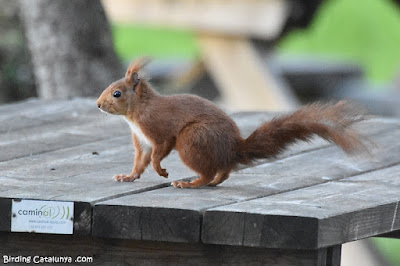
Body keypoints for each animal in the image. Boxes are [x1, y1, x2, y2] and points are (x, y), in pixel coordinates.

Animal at [96, 57, 368, 188]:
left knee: (208, 170)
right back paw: (215, 181)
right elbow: (140, 161)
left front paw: (161, 170)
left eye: (117, 93)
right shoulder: (142, 141)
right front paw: (128, 176)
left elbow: (158, 153)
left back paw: (192, 184)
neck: (136, 114)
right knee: (224, 170)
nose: (98, 104)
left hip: (191, 139)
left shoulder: (160, 131)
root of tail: (233, 148)